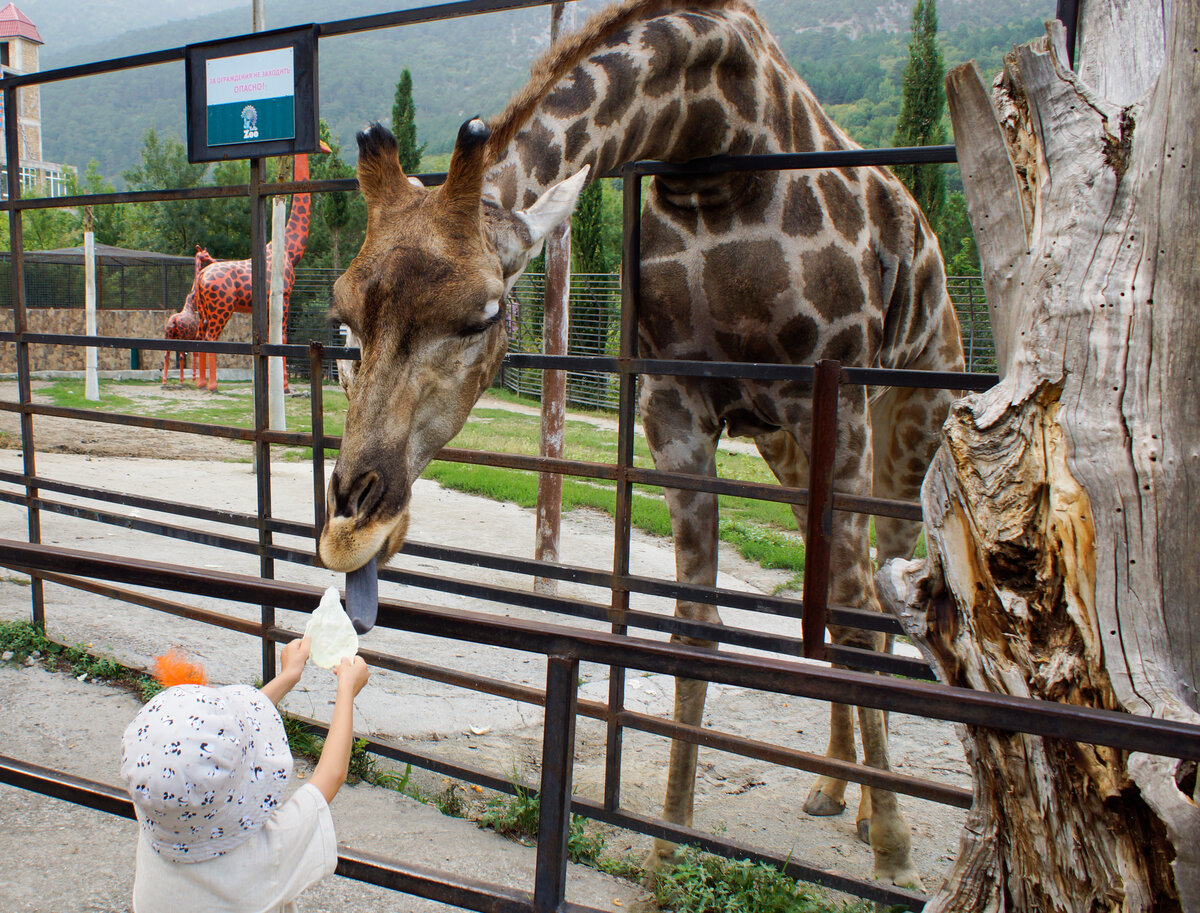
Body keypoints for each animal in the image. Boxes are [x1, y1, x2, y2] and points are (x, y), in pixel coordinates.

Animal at [316, 0, 964, 883]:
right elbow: (695, 622)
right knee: (842, 586)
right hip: (788, 451)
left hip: (910, 414)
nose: (352, 526)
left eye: (482, 315)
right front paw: (666, 837)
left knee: (878, 590)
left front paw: (897, 853)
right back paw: (833, 791)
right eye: (343, 312)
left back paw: (870, 812)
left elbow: (861, 619)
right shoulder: (673, 408)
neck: (717, 148)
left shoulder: (828, 397)